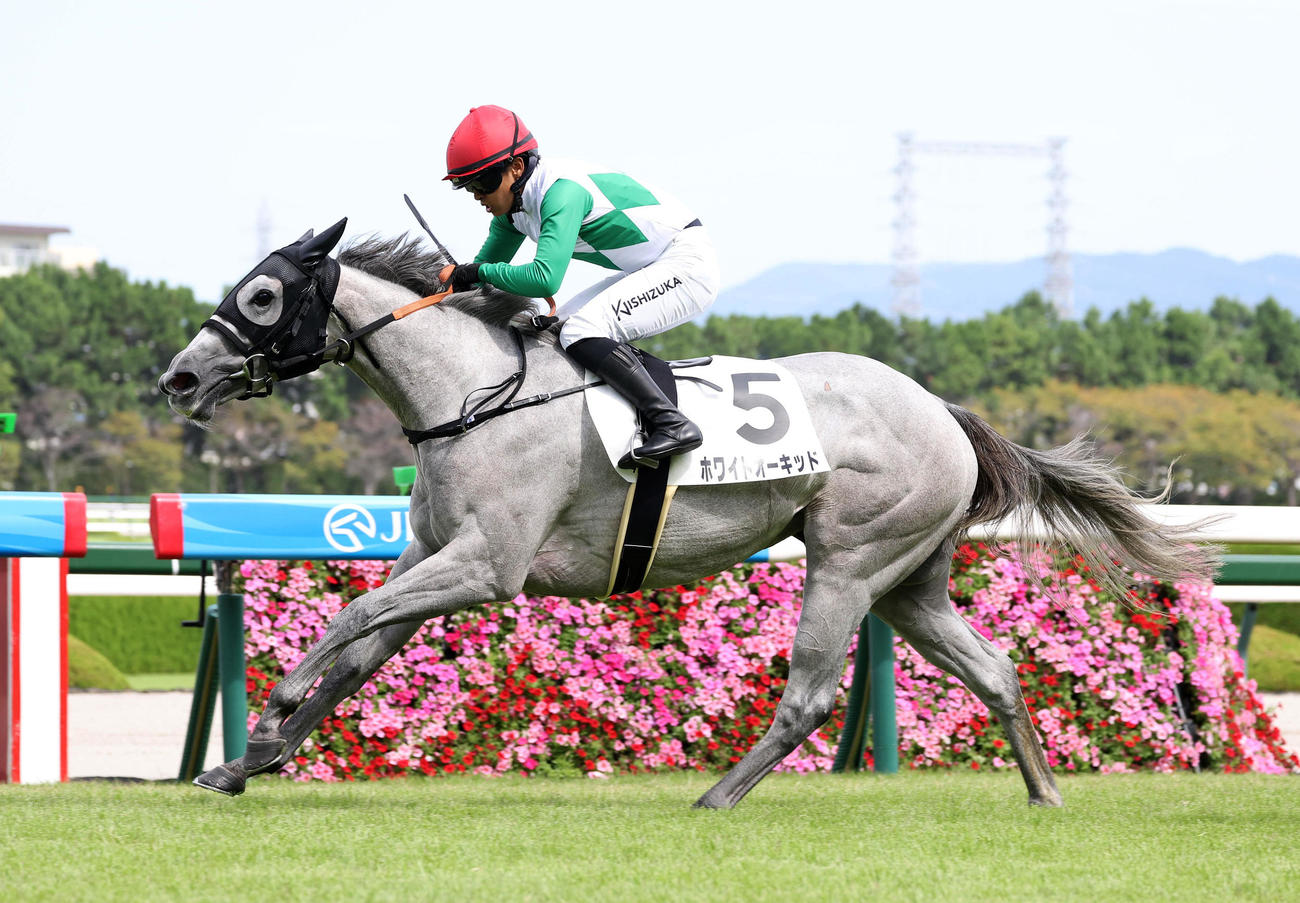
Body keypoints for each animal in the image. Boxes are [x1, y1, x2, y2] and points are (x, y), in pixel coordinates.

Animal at [158, 219, 1216, 808]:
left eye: (263, 294)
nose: (180, 377)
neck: (474, 394)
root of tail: (942, 410)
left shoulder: (486, 567)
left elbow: (348, 615)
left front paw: (275, 708)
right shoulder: (434, 558)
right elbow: (359, 650)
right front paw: (244, 762)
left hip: (848, 559)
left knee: (810, 693)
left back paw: (715, 796)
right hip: (909, 579)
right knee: (992, 667)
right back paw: (1045, 794)